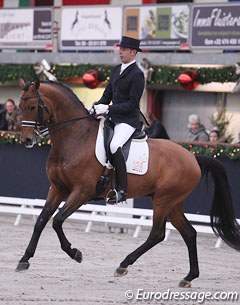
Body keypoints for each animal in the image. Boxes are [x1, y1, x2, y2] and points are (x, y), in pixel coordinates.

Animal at [15, 77, 239, 286]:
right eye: (20, 107)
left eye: (32, 107)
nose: (27, 140)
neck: (75, 137)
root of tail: (193, 158)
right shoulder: (57, 188)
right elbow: (41, 220)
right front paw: (24, 259)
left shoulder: (82, 192)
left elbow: (57, 220)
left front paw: (75, 253)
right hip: (173, 203)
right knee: (189, 233)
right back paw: (189, 277)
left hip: (164, 200)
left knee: (157, 234)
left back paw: (123, 264)